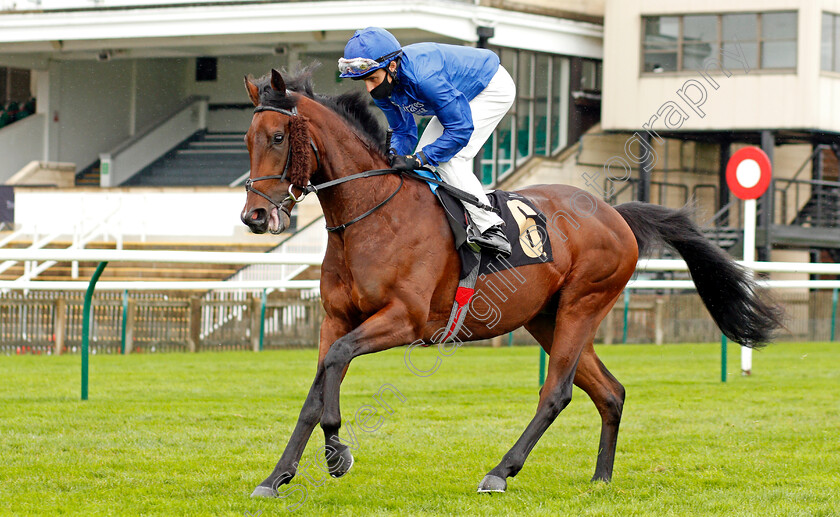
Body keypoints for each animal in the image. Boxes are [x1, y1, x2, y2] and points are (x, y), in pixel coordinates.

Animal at [240, 67, 784, 496]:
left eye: (278, 138)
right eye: (246, 140)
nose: (254, 217)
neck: (371, 215)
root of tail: (616, 214)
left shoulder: (404, 319)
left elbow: (333, 368)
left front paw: (337, 452)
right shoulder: (336, 318)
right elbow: (315, 391)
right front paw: (277, 476)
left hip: (583, 303)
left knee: (557, 392)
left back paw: (500, 471)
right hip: (546, 316)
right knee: (610, 392)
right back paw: (600, 479)